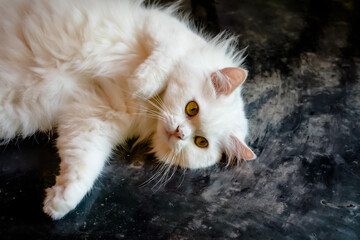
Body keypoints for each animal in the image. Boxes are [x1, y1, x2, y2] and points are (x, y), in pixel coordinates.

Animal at [0, 0, 256, 219]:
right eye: (192, 108)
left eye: (200, 142)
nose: (179, 133)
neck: (150, 109)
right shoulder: (160, 26)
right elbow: (167, 57)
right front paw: (140, 84)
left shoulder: (93, 117)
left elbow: (83, 166)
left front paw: (59, 202)